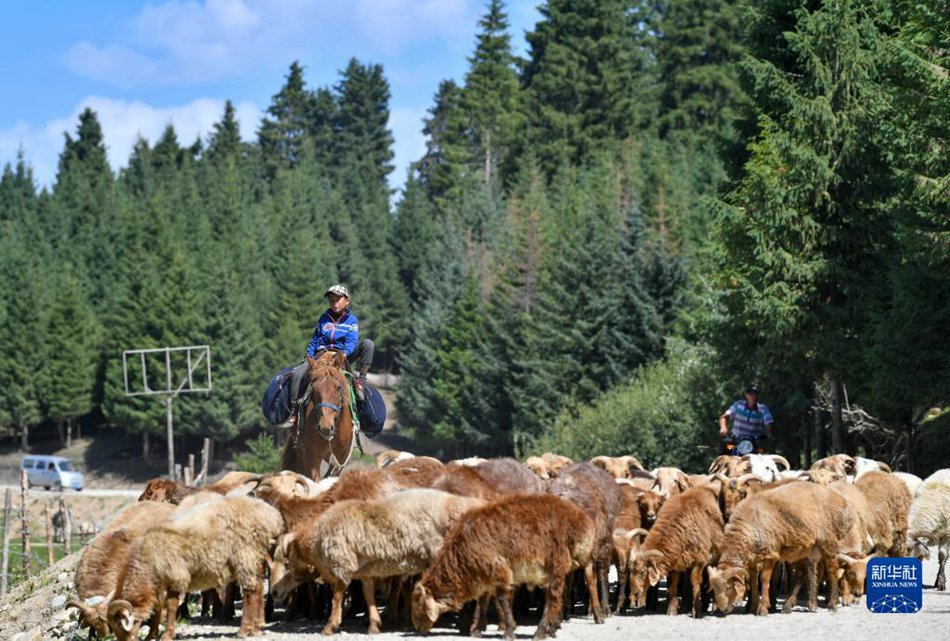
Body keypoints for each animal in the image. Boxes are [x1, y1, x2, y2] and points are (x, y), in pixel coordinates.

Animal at [414, 492, 596, 636]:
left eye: (418, 605)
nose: (418, 629)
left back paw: (540, 632)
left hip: (557, 562)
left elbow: (502, 602)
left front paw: (508, 632)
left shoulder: (500, 572)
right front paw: (477, 630)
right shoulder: (487, 575)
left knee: (553, 600)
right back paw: (551, 630)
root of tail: (583, 521)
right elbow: (483, 600)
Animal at [628, 484, 724, 616]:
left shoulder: (699, 560)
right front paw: (672, 610)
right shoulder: (675, 562)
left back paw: (715, 606)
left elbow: (695, 583)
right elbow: (673, 586)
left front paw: (696, 610)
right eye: (631, 571)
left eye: (642, 572)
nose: (635, 594)